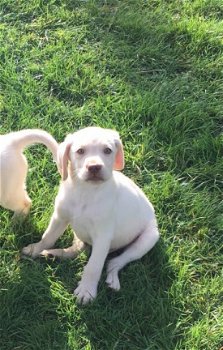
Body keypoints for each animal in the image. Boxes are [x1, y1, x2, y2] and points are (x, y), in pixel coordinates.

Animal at [22, 126, 159, 304]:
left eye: (107, 150)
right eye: (80, 151)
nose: (94, 167)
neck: (85, 191)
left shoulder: (103, 237)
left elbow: (94, 266)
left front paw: (86, 290)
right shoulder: (59, 217)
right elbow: (47, 237)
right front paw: (35, 249)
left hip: (149, 238)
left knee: (115, 261)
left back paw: (113, 279)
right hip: (80, 235)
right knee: (77, 249)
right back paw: (53, 254)